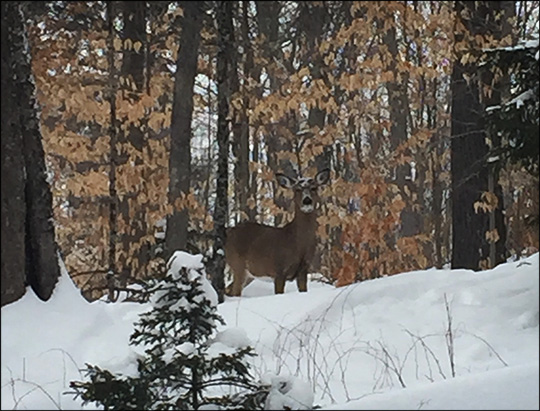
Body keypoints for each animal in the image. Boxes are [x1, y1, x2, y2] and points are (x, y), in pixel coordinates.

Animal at [224, 169, 330, 298]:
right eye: (297, 189)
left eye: (314, 188)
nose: (307, 201)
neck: (297, 244)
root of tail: (228, 231)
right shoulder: (279, 270)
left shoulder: (303, 270)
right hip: (237, 264)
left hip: (249, 274)